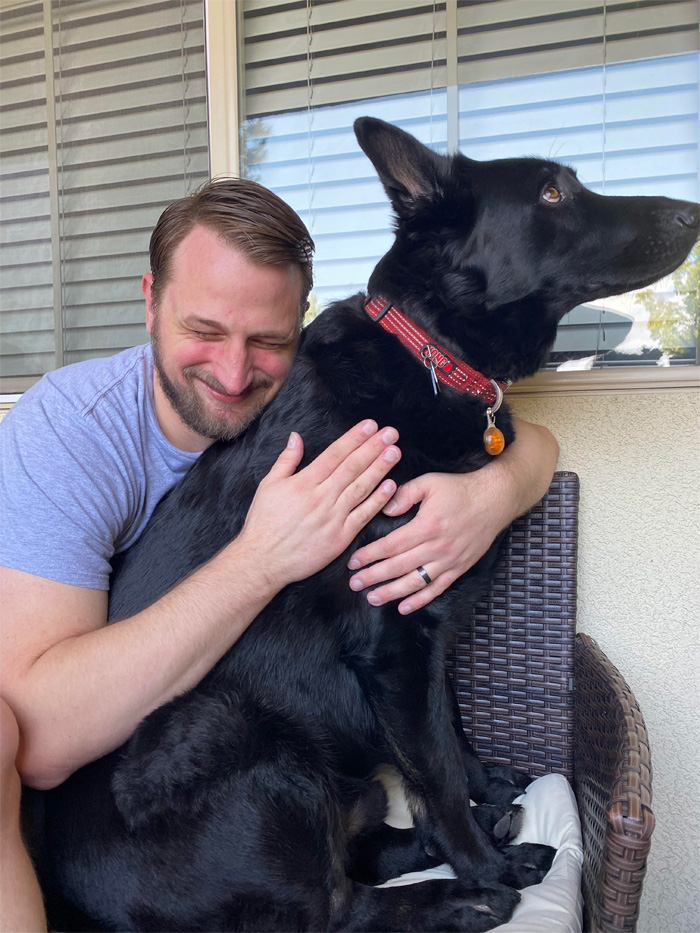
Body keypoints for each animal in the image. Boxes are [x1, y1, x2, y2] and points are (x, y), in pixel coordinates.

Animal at [35, 118, 696, 932]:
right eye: (551, 192)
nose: (693, 213)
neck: (431, 352)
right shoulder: (395, 644)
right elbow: (435, 771)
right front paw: (482, 859)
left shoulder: (430, 630)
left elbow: (452, 729)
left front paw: (487, 791)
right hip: (246, 739)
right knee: (338, 906)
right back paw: (468, 894)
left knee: (364, 850)